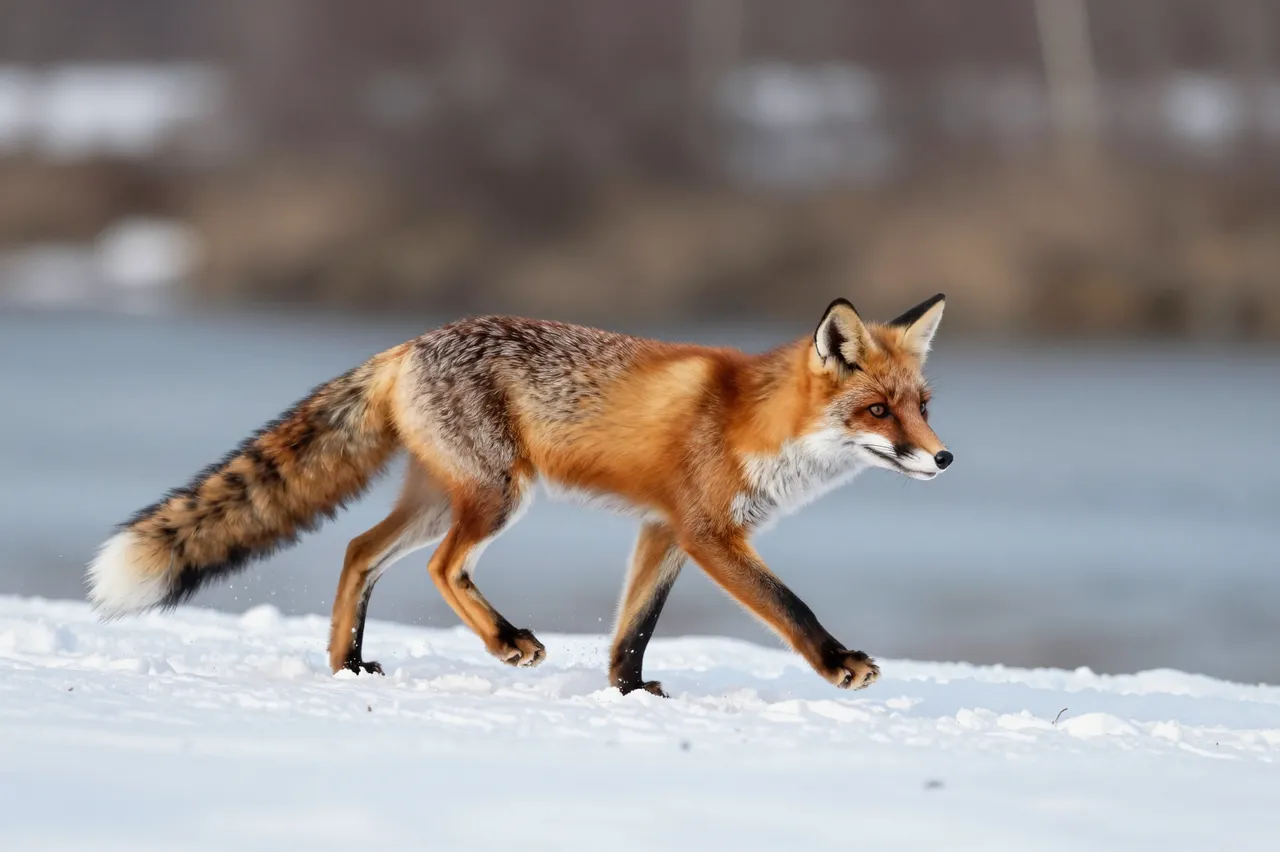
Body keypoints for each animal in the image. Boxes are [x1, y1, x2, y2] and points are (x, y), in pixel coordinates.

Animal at [87, 294, 952, 695]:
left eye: (922, 403)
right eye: (878, 411)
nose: (944, 458)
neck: (760, 424)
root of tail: (406, 344)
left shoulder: (663, 530)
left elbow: (634, 628)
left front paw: (628, 694)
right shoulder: (709, 532)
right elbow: (788, 605)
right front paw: (839, 662)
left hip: (443, 498)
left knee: (360, 550)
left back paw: (348, 664)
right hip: (497, 498)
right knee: (440, 567)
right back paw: (504, 641)